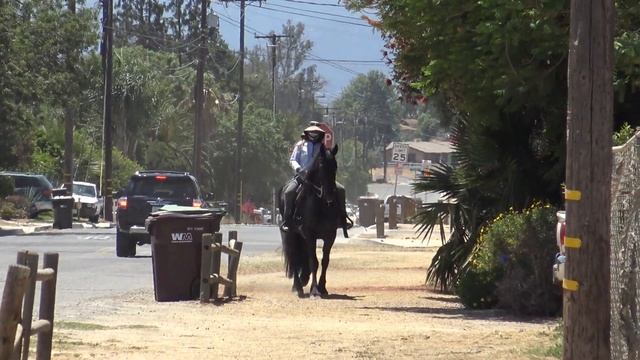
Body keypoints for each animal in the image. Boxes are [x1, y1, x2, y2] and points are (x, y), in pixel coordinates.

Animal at [278, 143, 342, 298]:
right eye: (321, 164)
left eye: (335, 165)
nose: (329, 194)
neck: (320, 204)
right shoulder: (310, 235)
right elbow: (314, 261)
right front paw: (314, 290)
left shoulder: (330, 236)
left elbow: (325, 261)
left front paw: (322, 287)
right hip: (291, 235)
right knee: (294, 257)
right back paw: (298, 287)